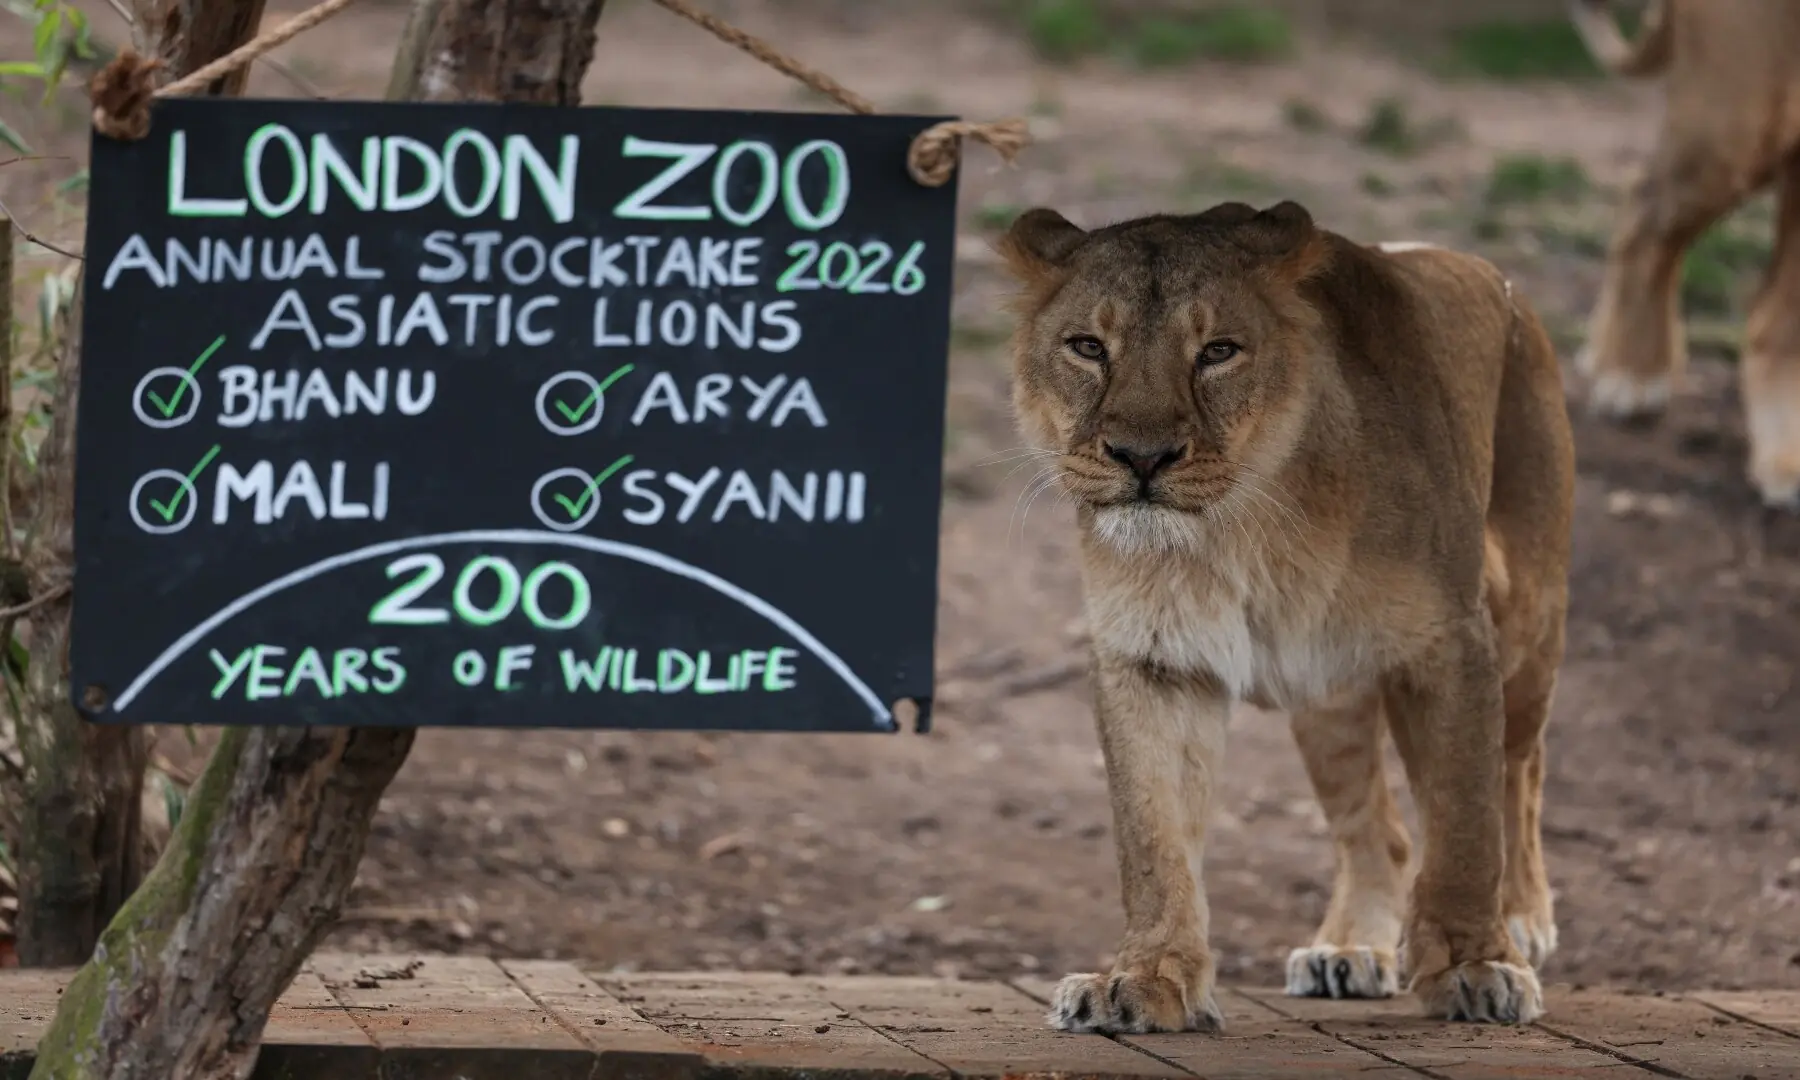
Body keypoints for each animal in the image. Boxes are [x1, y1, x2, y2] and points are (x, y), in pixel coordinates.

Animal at [995, 201, 1574, 1033]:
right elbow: (1153, 842)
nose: (1142, 456)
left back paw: (1523, 919)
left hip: (1526, 623)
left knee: (1520, 771)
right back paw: (1350, 951)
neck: (1240, 528)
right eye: (1086, 347)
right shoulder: (1153, 662)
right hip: (1328, 696)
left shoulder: (1449, 641)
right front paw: (1146, 980)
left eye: (1219, 351)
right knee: (1382, 833)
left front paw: (1476, 965)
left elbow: (1467, 822)